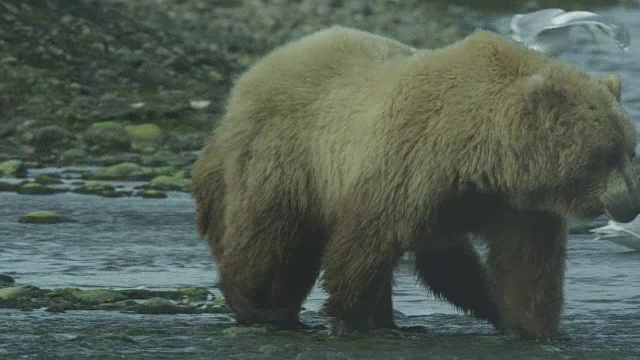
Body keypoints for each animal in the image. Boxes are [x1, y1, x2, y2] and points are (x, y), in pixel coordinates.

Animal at [194, 26, 640, 338]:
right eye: (605, 154)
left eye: (629, 150)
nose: (629, 205)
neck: (487, 153)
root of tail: (247, 80)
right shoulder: (410, 165)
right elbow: (368, 242)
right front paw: (348, 317)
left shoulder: (505, 202)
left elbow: (521, 263)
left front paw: (532, 324)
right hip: (285, 156)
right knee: (269, 233)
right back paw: (256, 307)